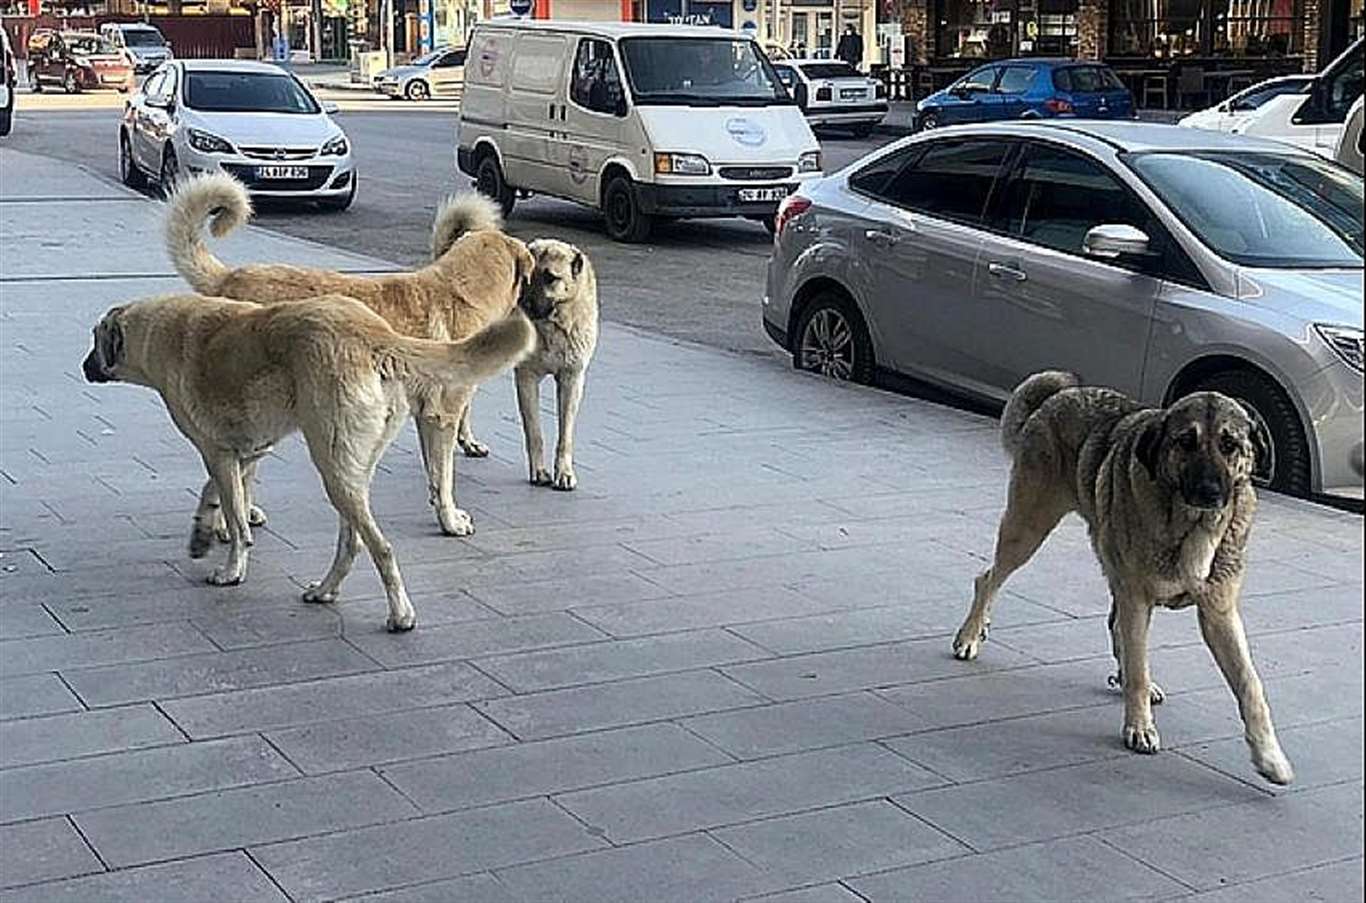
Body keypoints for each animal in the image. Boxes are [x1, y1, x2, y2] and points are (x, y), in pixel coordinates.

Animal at [82, 292, 532, 631]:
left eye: (94, 340)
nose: (84, 368)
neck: (156, 333)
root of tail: (376, 334)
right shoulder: (246, 450)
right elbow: (223, 496)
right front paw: (203, 533)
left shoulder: (218, 453)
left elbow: (237, 517)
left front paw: (232, 569)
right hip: (350, 470)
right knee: (351, 542)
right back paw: (325, 591)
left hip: (333, 467)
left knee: (381, 547)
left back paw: (400, 615)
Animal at [159, 172, 521, 532]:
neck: (457, 291)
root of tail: (228, 278)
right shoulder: (442, 416)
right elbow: (444, 477)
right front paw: (451, 520)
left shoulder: (426, 416)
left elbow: (434, 474)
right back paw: (227, 524)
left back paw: (244, 513)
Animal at [950, 368, 1289, 786]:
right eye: (1185, 441)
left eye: (1230, 445)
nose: (1210, 492)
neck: (1192, 526)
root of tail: (1059, 396)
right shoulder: (1138, 598)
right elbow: (1138, 671)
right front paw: (1140, 726)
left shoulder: (1218, 614)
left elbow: (1250, 685)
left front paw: (1269, 756)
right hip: (1028, 527)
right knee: (989, 578)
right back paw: (970, 634)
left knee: (1115, 625)